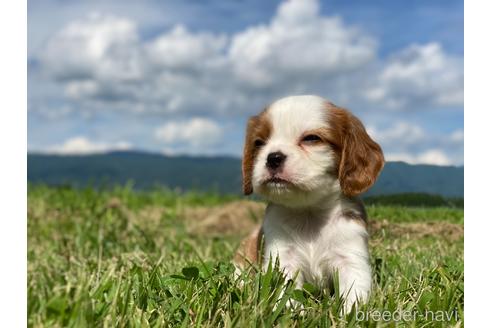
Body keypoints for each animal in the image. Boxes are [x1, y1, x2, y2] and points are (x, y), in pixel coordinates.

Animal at [234, 94, 384, 310]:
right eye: (259, 142)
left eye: (311, 138)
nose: (273, 158)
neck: (309, 211)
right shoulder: (282, 257)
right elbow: (286, 292)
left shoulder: (350, 255)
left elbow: (354, 293)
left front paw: (350, 313)